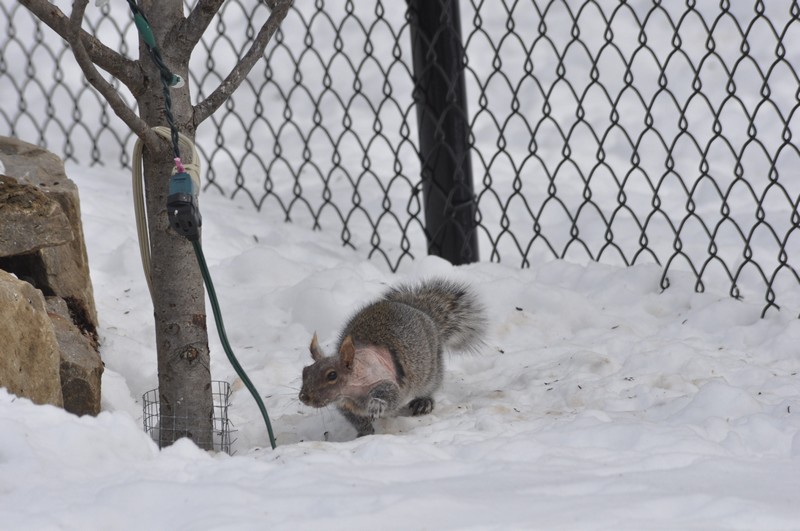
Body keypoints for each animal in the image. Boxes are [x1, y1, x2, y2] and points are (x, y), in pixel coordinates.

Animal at [300, 278, 488, 436]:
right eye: (305, 371)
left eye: (332, 375)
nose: (303, 397)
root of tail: (423, 312)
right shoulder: (345, 406)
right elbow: (357, 421)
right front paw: (364, 432)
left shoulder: (390, 382)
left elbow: (391, 396)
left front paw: (375, 405)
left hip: (430, 371)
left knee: (430, 386)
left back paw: (423, 402)